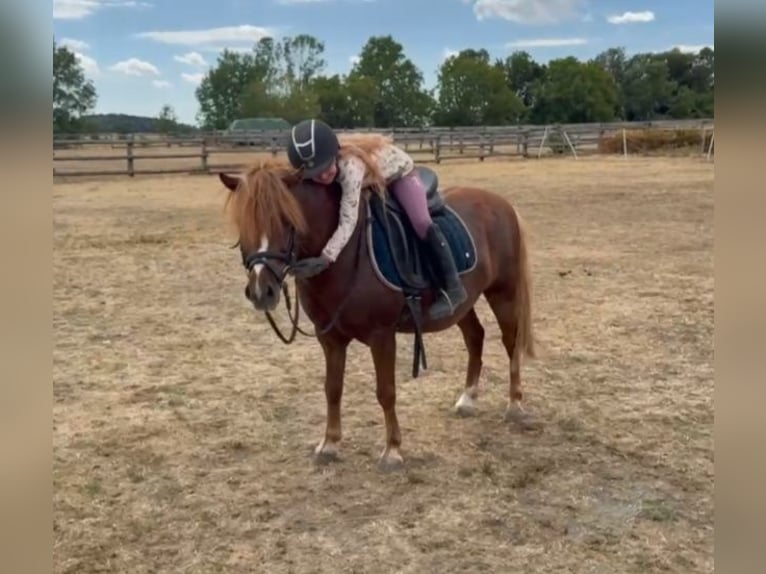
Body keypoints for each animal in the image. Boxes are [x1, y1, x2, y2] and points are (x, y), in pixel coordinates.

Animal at [218, 158, 540, 471]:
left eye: (287, 220)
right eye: (242, 224)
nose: (262, 291)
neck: (344, 254)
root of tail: (502, 203)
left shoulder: (381, 335)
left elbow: (386, 391)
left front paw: (392, 451)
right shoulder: (329, 338)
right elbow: (332, 388)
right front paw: (330, 444)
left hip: (504, 293)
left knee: (511, 342)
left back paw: (515, 405)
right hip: (462, 304)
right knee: (476, 337)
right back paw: (467, 398)